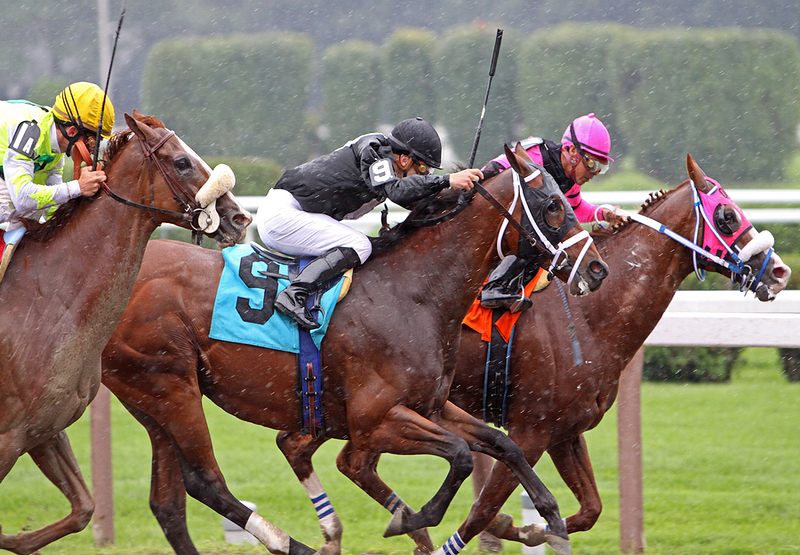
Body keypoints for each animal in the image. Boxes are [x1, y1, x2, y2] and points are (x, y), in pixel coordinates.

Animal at [0, 113, 250, 555]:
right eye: (181, 162)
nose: (239, 218)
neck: (45, 299)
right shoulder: (6, 437)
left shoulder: (38, 428)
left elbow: (82, 508)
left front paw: (15, 537)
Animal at [103, 144, 608, 555]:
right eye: (553, 206)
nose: (598, 269)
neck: (412, 293)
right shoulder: (375, 421)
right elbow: (458, 457)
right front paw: (411, 518)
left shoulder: (431, 406)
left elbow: (504, 444)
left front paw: (547, 513)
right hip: (169, 386)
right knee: (205, 482)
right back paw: (295, 543)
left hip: (151, 400)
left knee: (169, 503)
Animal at [300, 154, 788, 552]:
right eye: (726, 215)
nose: (781, 273)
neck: (589, 316)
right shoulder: (531, 430)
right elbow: (481, 512)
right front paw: (506, 525)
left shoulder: (565, 432)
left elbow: (590, 508)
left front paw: (528, 528)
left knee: (321, 453)